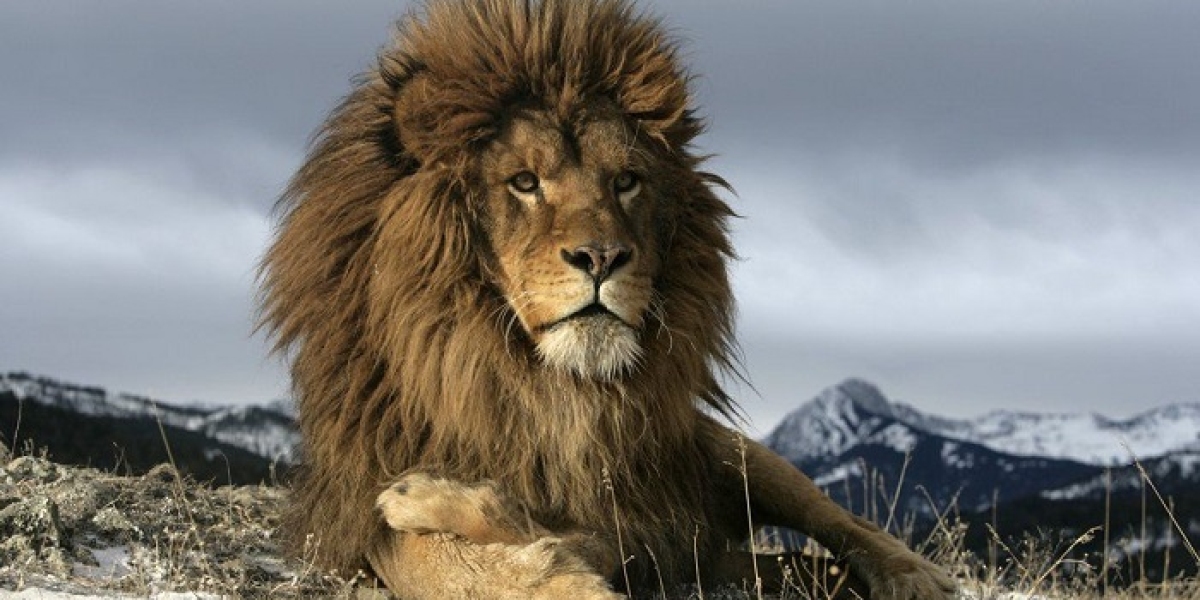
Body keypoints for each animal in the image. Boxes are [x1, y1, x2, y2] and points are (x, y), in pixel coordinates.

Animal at [258, 0, 957, 598]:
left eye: (626, 182)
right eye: (524, 182)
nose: (602, 257)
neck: (549, 391)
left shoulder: (646, 522)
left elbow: (562, 535)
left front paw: (445, 505)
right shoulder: (358, 498)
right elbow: (436, 560)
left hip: (735, 455)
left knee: (847, 524)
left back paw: (916, 576)